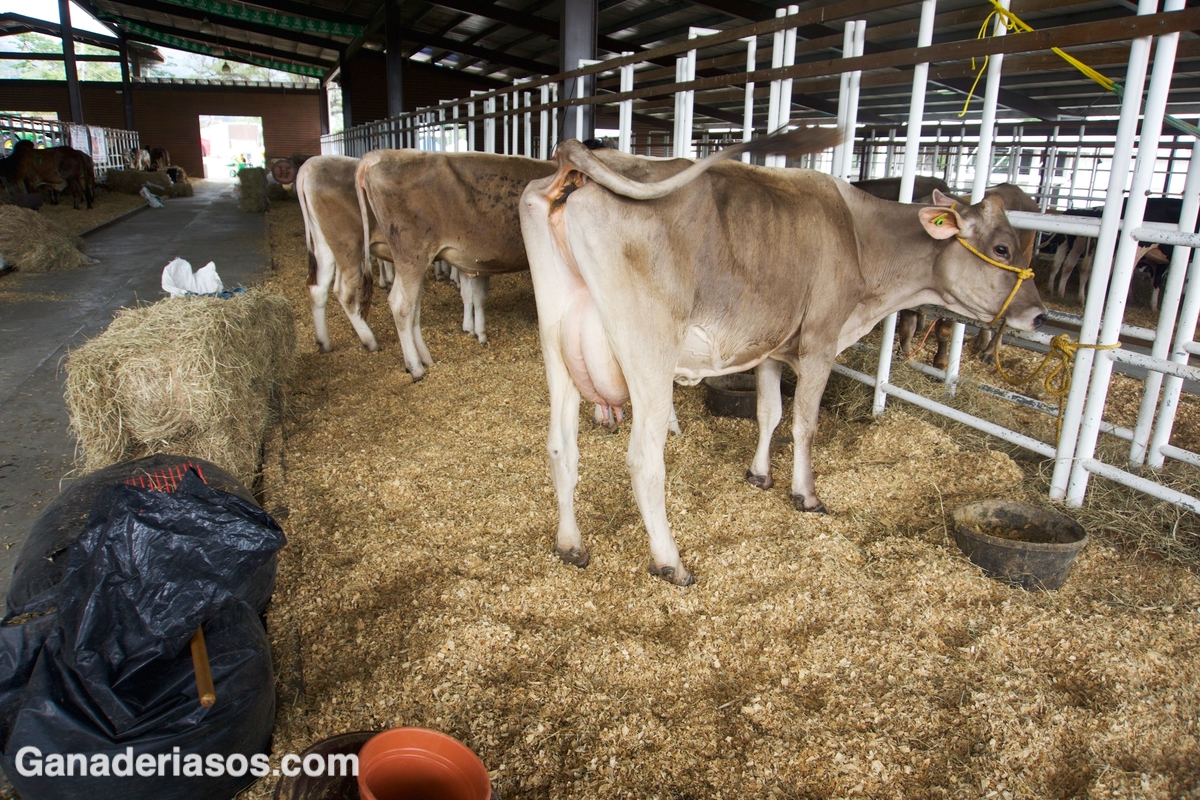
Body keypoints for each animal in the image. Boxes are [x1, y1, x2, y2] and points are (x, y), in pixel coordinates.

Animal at [295, 154, 393, 352]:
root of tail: (308, 166)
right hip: (348, 244)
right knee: (345, 293)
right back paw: (369, 341)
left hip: (324, 244)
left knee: (317, 288)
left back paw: (324, 342)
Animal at [520, 128, 1046, 585]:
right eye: (1002, 247)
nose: (1038, 313)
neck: (860, 240)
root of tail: (579, 161)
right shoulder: (819, 344)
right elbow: (803, 424)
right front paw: (806, 494)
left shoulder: (772, 346)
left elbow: (768, 411)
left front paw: (759, 474)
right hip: (649, 349)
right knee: (644, 458)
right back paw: (671, 562)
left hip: (557, 341)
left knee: (560, 444)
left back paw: (570, 545)